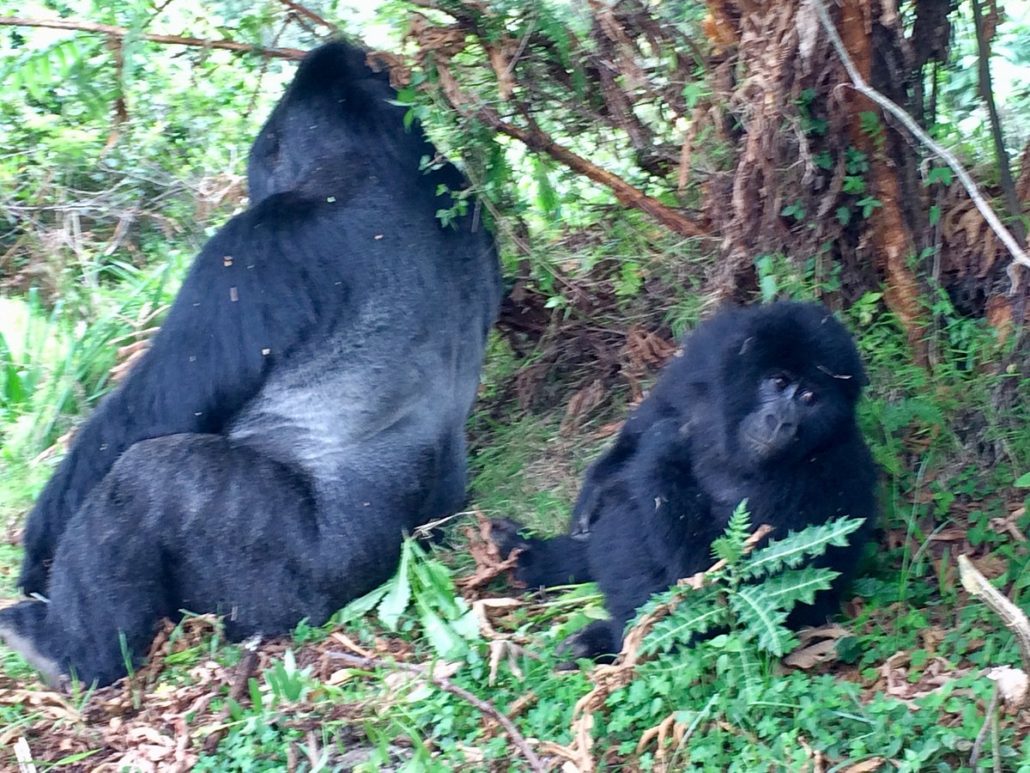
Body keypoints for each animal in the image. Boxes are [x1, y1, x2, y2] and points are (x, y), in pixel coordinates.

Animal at [0, 40, 498, 688]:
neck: (387, 156)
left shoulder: (253, 245)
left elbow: (147, 417)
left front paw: (37, 555)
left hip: (286, 597)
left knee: (148, 476)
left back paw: (69, 652)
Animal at [496, 303, 877, 659]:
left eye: (810, 397)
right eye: (779, 382)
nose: (782, 420)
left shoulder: (831, 474)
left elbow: (715, 578)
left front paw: (664, 441)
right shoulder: (709, 354)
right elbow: (653, 415)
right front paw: (595, 488)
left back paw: (608, 642)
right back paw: (532, 557)